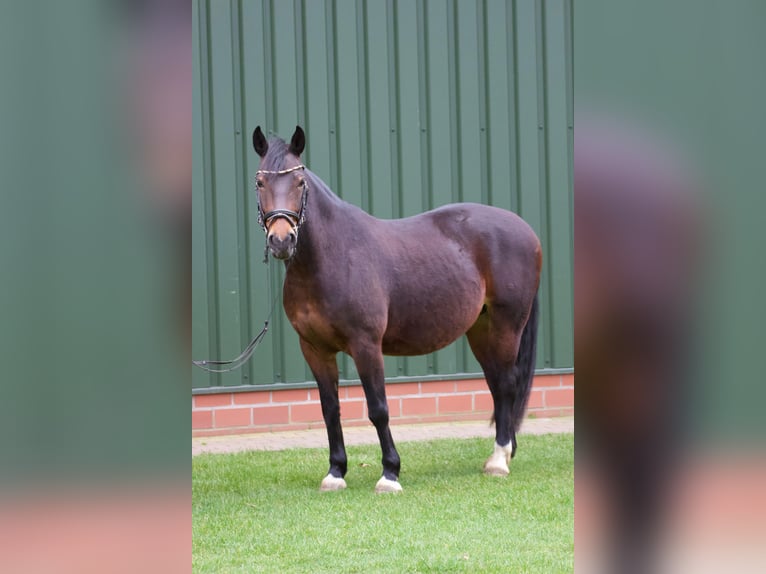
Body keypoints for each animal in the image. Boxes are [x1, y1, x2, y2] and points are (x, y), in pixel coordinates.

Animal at [252, 125, 541, 493]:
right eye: (260, 181)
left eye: (300, 182)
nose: (281, 240)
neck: (332, 256)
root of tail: (525, 230)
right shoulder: (315, 349)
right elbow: (330, 409)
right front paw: (336, 472)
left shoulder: (366, 345)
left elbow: (378, 409)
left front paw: (390, 473)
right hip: (480, 329)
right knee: (496, 384)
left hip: (507, 324)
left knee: (506, 383)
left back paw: (499, 460)